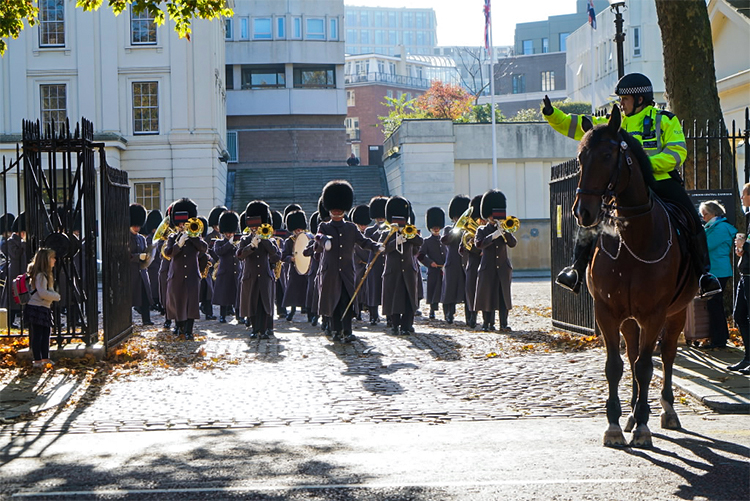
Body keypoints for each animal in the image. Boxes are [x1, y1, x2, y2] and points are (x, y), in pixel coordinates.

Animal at [576, 104, 700, 446]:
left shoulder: (654, 313)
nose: (583, 212)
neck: (632, 241)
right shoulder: (606, 312)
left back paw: (666, 410)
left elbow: (646, 367)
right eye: (579, 157)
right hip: (629, 319)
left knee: (667, 355)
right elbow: (615, 366)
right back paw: (631, 412)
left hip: (675, 313)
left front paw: (644, 426)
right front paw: (615, 424)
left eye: (607, 155)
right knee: (631, 355)